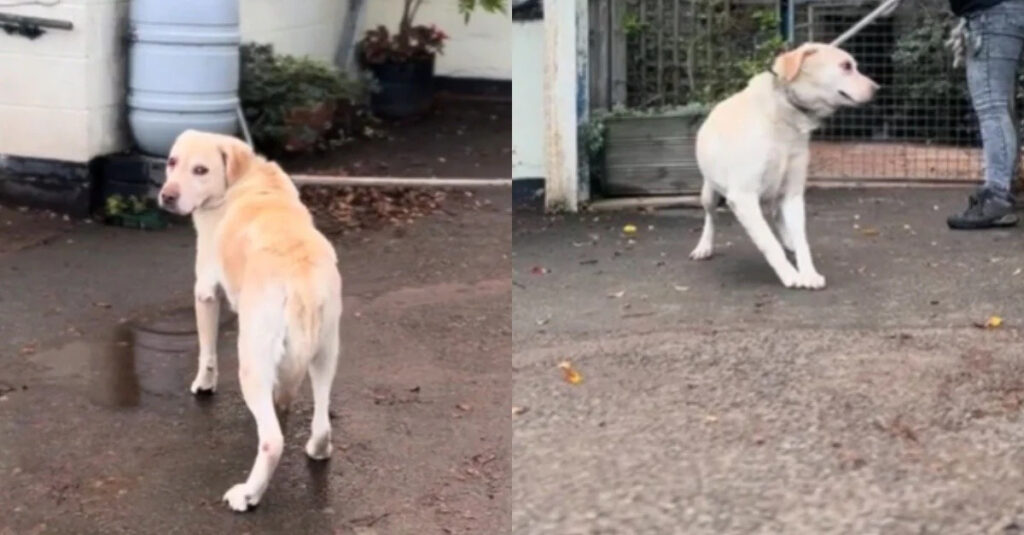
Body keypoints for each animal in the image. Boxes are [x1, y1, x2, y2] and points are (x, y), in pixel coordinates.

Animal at [156, 129, 344, 508]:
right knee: (321, 419)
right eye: (172, 162)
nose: (167, 196)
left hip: (252, 360)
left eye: (201, 170)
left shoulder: (205, 292)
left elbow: (207, 352)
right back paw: (317, 449)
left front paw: (204, 384)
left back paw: (247, 494)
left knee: (272, 441)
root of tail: (300, 278)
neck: (243, 178)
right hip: (325, 351)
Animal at [688, 43, 880, 286]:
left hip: (777, 193)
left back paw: (788, 241)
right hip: (709, 194)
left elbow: (802, 241)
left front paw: (808, 273)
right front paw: (790, 275)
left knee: (778, 217)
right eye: (846, 66)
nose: (878, 89)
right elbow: (769, 243)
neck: (785, 113)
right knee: (711, 218)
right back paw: (704, 246)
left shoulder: (793, 194)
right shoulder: (743, 198)